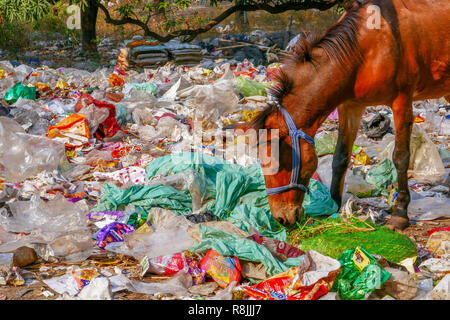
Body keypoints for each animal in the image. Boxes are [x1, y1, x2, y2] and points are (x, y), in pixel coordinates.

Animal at [234, 0, 448, 230]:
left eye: (276, 163)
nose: (282, 218)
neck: (368, 49)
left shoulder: (402, 101)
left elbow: (400, 157)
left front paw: (400, 212)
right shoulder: (350, 105)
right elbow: (340, 158)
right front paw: (333, 204)